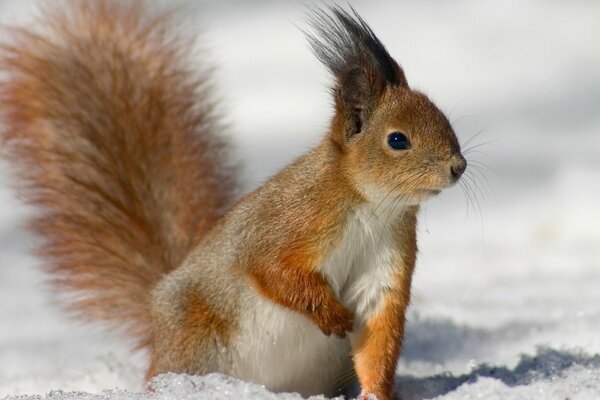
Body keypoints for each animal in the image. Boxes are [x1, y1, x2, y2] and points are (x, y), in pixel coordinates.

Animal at [0, 1, 466, 398]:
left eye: (445, 118)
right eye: (397, 140)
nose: (458, 167)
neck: (372, 206)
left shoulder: (385, 263)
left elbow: (377, 332)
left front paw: (375, 393)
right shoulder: (288, 220)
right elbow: (270, 268)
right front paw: (331, 314)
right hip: (194, 341)